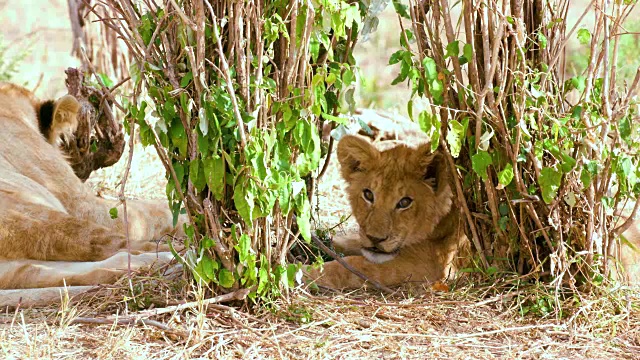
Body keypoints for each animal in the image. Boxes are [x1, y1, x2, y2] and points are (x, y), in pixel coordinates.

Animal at [0, 82, 181, 296]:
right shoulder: (83, 205)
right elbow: (154, 211)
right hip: (38, 217)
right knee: (119, 246)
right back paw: (176, 255)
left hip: (15, 264)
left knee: (49, 272)